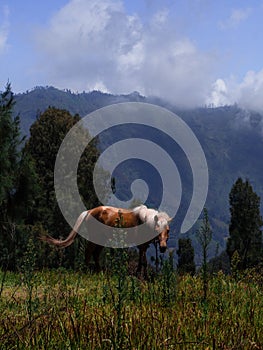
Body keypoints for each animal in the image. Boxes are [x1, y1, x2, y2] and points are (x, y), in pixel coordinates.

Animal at [39, 205, 171, 276]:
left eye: (168, 230)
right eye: (157, 228)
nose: (163, 247)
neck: (144, 221)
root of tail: (89, 211)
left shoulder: (144, 246)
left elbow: (142, 261)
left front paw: (141, 275)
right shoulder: (142, 245)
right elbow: (143, 262)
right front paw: (141, 276)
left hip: (101, 239)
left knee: (96, 254)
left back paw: (99, 271)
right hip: (95, 238)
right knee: (89, 252)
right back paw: (87, 271)